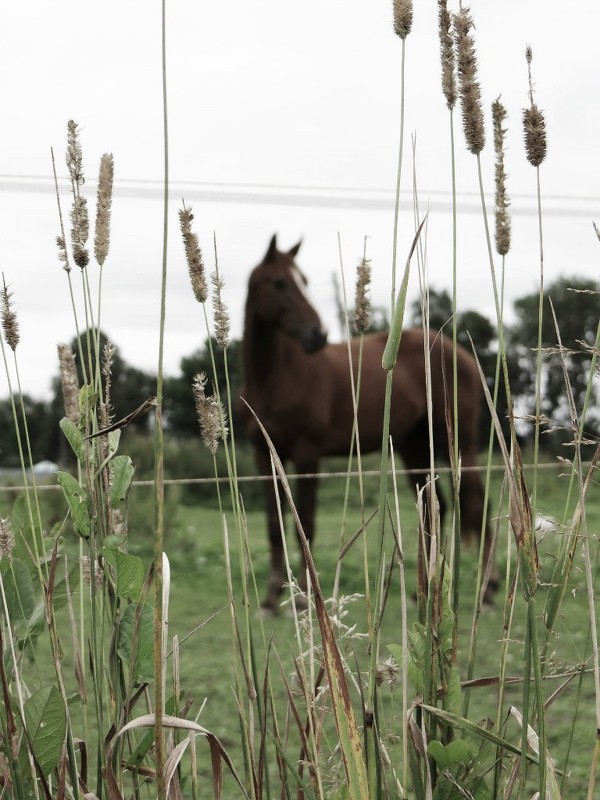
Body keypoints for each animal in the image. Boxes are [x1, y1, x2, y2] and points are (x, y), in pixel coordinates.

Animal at [239, 234, 496, 608]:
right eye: (279, 282)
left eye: (303, 281)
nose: (317, 335)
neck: (278, 376)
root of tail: (461, 354)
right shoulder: (264, 456)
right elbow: (275, 527)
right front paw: (273, 598)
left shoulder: (307, 454)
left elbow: (306, 525)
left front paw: (304, 599)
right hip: (414, 448)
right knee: (433, 508)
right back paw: (422, 591)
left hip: (459, 444)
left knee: (476, 503)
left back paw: (488, 590)